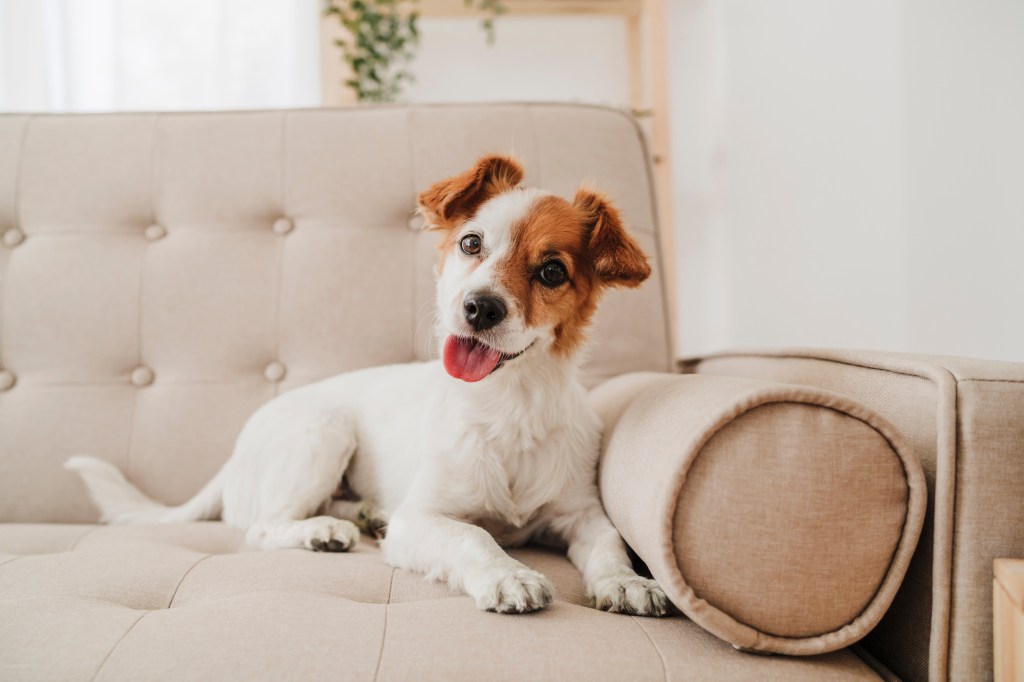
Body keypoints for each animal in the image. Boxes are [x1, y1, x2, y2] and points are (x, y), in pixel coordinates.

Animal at [66, 155, 671, 614]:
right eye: (471, 243)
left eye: (552, 272)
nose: (478, 307)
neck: (509, 403)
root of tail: (234, 456)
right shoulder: (421, 519)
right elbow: (474, 535)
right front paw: (508, 574)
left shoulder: (580, 514)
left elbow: (612, 545)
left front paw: (628, 582)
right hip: (324, 430)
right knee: (261, 527)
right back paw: (322, 530)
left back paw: (361, 514)